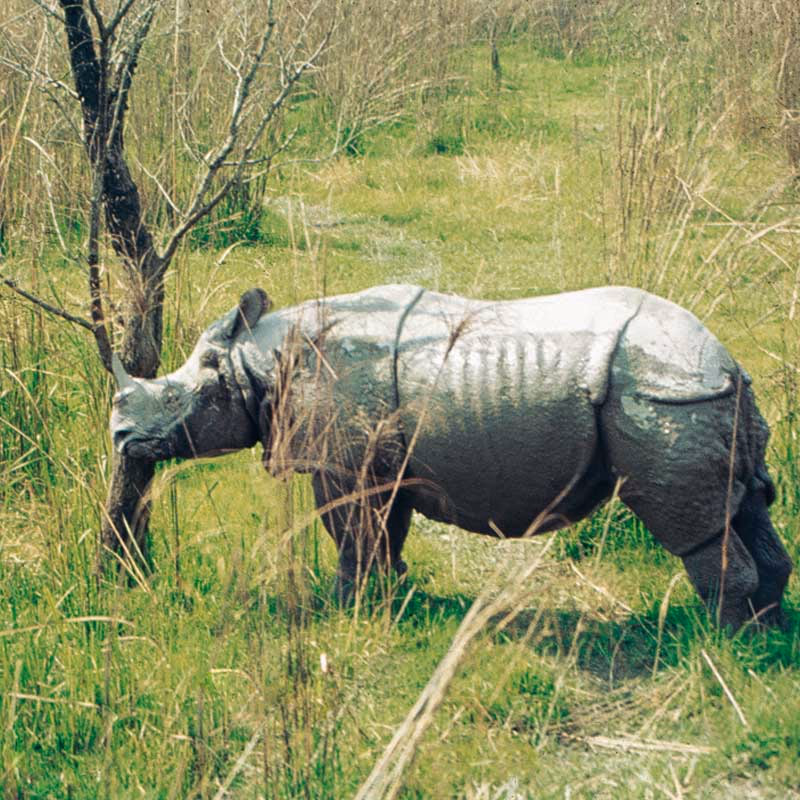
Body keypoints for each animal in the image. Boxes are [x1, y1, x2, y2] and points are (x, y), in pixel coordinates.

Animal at [110, 284, 792, 629]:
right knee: (745, 506)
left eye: (175, 396)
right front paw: (388, 601)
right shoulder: (380, 463)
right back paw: (765, 638)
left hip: (664, 395)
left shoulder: (342, 463)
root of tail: (726, 360)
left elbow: (350, 537)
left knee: (693, 522)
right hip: (707, 395)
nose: (119, 435)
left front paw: (345, 612)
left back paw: (715, 647)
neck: (257, 359)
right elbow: (384, 534)